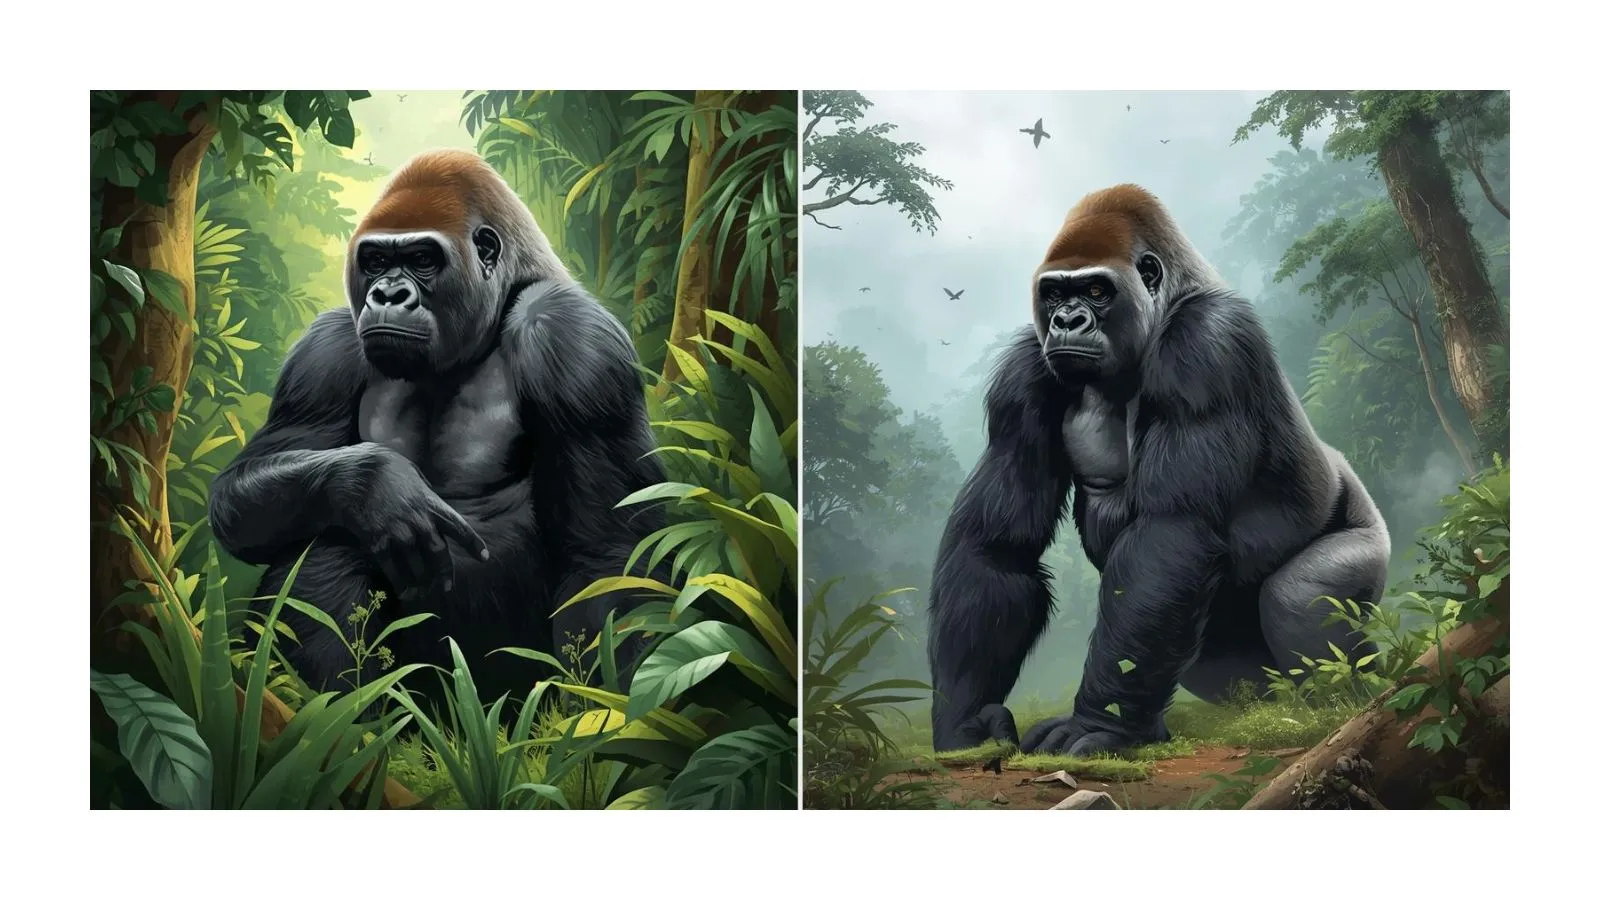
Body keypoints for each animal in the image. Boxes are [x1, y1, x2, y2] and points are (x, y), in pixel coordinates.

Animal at [209, 149, 666, 702]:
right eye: (377, 261)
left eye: (423, 260)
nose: (388, 294)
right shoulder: (326, 347)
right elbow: (241, 493)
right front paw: (375, 485)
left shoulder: (573, 337)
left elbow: (608, 558)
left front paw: (599, 714)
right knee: (328, 534)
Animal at [927, 184, 1390, 756]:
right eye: (1054, 294)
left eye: (1097, 291)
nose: (1067, 321)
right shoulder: (1023, 372)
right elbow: (996, 550)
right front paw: (963, 719)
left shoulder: (1207, 345)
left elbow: (1170, 533)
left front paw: (1098, 725)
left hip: (1367, 534)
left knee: (1297, 598)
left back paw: (1343, 700)